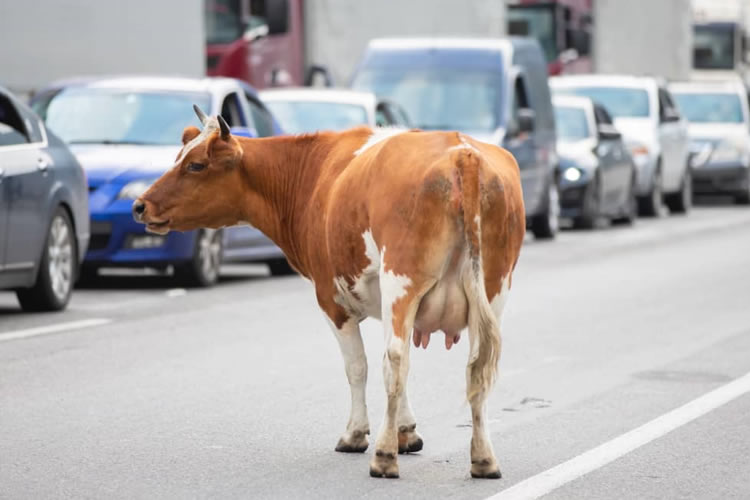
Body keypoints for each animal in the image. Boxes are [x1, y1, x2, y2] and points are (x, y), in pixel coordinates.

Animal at [132, 106, 525, 479]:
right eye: (179, 157)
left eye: (196, 165)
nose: (140, 205)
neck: (314, 173)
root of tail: (461, 153)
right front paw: (407, 432)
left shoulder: (331, 300)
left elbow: (358, 367)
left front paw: (357, 434)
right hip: (493, 290)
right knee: (476, 367)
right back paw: (483, 459)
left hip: (401, 282)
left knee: (395, 360)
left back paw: (384, 458)